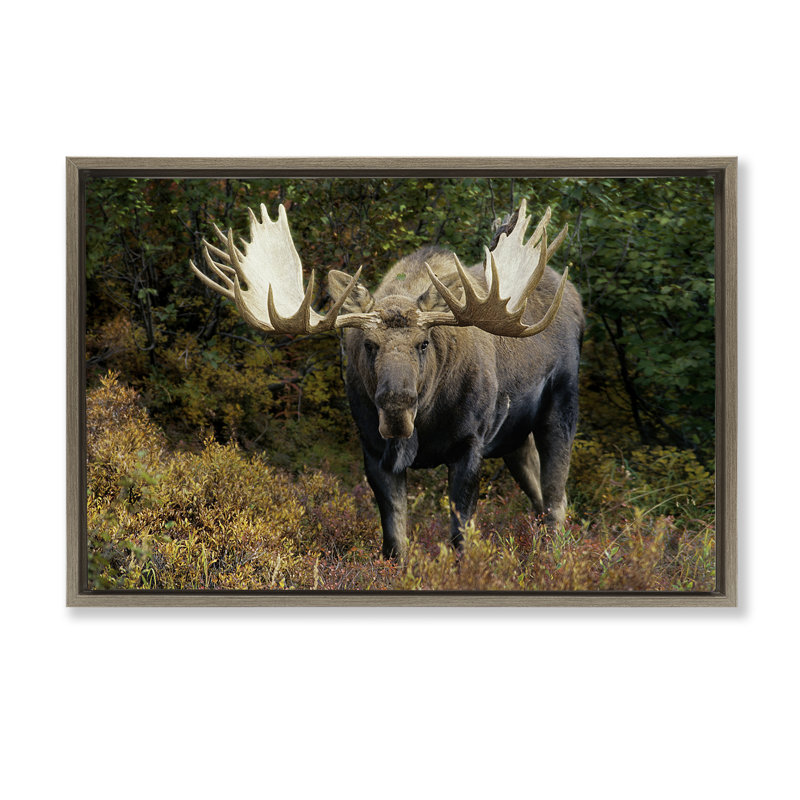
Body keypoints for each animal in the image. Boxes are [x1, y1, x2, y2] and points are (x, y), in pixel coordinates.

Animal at [191, 199, 584, 558]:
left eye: (423, 343)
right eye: (369, 344)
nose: (397, 407)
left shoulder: (470, 444)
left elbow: (461, 539)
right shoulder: (374, 451)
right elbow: (395, 542)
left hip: (561, 405)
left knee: (556, 499)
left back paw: (555, 561)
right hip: (513, 438)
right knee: (539, 495)